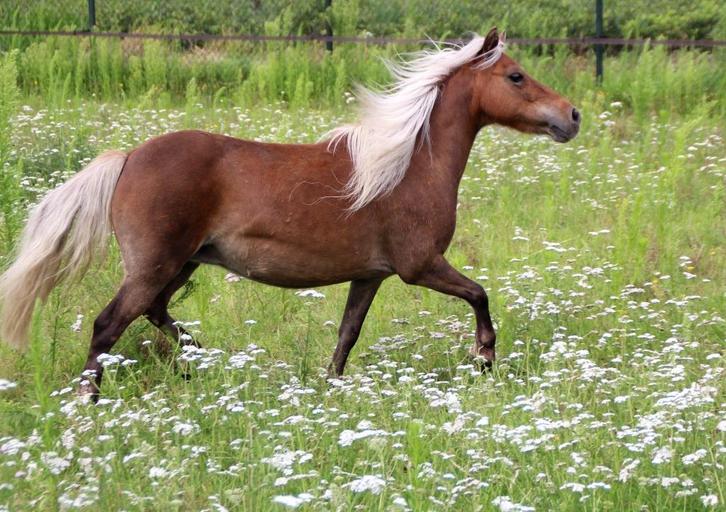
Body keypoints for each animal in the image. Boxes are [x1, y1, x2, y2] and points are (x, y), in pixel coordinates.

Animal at [0, 28, 580, 399]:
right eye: (516, 77)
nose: (572, 116)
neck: (407, 165)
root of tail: (129, 157)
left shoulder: (371, 275)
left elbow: (347, 335)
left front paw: (331, 389)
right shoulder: (420, 266)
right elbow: (480, 295)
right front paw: (484, 359)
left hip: (180, 265)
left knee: (156, 315)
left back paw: (203, 364)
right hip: (154, 265)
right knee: (108, 326)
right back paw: (91, 404)